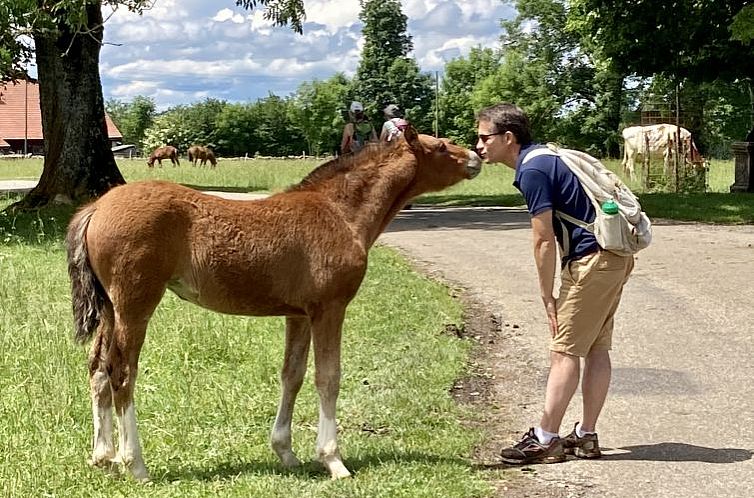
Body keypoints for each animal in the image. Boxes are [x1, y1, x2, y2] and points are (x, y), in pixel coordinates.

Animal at [63, 127, 476, 482]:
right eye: (440, 147)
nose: (475, 157)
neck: (339, 213)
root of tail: (95, 209)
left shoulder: (300, 315)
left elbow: (292, 375)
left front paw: (286, 452)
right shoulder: (330, 308)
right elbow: (328, 378)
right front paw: (333, 460)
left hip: (110, 309)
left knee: (97, 368)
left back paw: (102, 457)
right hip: (135, 305)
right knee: (122, 373)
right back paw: (135, 464)